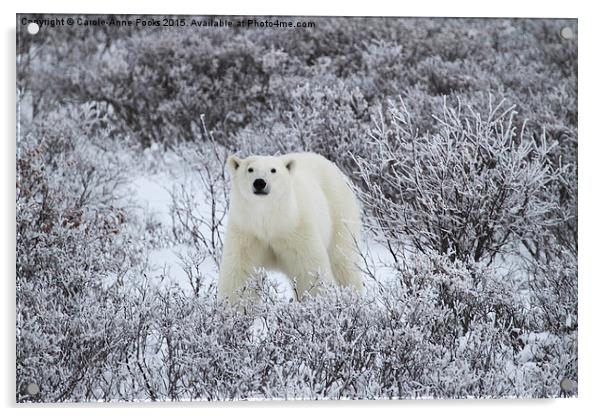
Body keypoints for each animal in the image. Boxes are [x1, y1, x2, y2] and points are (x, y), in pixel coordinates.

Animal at [218, 151, 364, 300]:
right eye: (250, 169)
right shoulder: (246, 231)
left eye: (273, 170)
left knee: (343, 260)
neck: (270, 221)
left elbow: (309, 269)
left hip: (338, 212)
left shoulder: (296, 229)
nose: (259, 182)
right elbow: (239, 271)